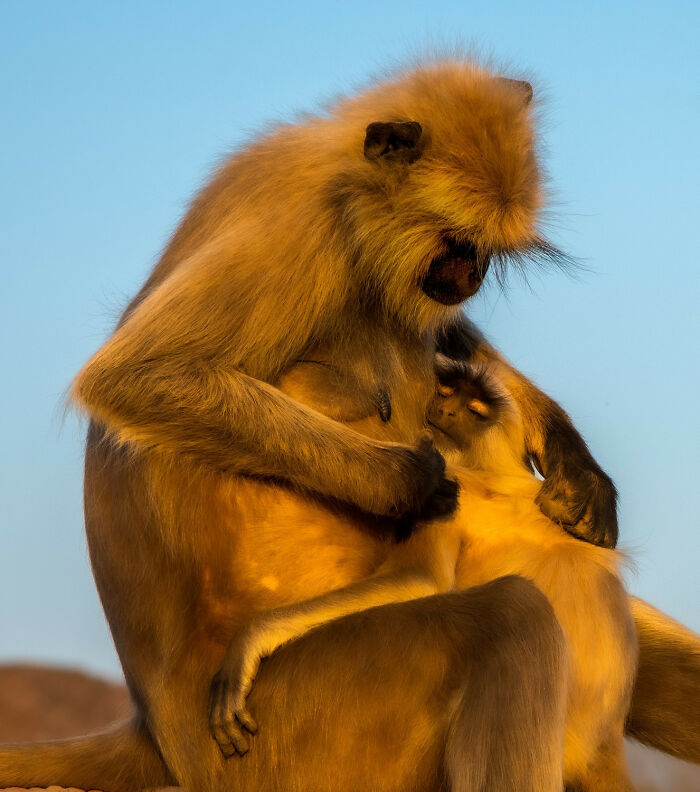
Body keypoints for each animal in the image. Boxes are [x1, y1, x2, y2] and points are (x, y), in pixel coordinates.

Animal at [2, 58, 697, 791]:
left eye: (481, 251)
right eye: (457, 243)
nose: (471, 274)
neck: (342, 184)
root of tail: (156, 734)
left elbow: (449, 338)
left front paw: (571, 458)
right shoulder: (299, 232)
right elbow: (136, 375)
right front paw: (410, 480)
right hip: (294, 731)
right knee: (514, 616)